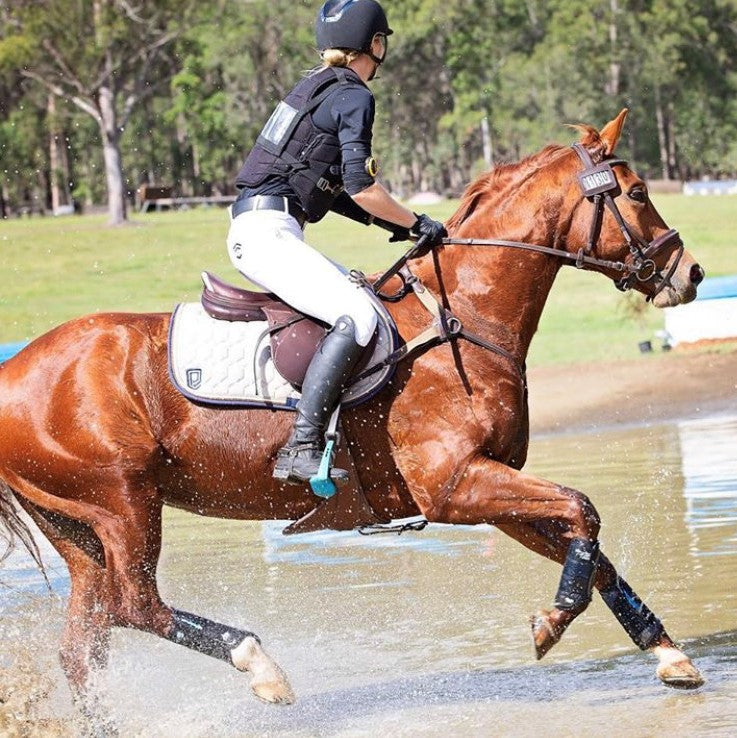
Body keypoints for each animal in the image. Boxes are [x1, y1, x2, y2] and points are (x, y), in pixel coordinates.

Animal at [0, 110, 706, 729]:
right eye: (638, 192)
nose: (690, 273)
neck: (464, 315)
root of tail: (14, 372)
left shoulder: (490, 488)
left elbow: (592, 548)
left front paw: (669, 654)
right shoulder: (456, 486)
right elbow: (584, 510)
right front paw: (554, 620)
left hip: (81, 526)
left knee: (87, 638)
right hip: (124, 503)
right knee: (134, 606)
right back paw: (260, 666)